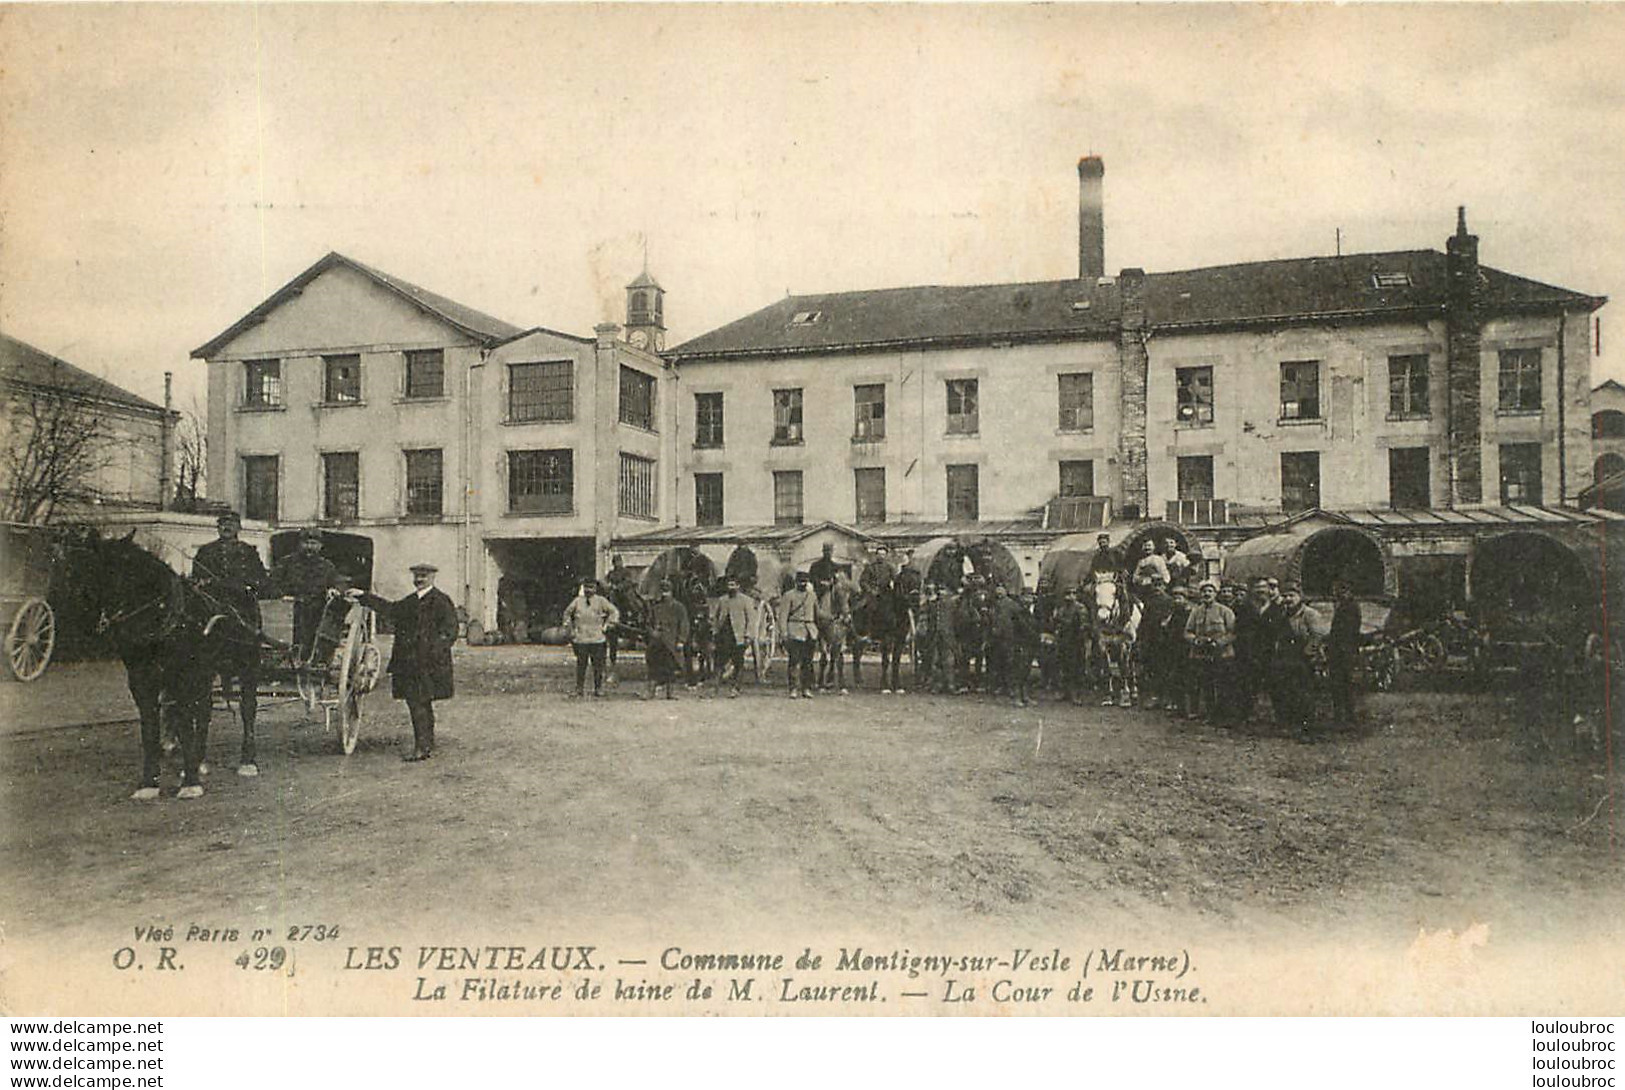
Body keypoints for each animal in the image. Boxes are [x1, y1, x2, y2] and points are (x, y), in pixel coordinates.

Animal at [60, 529, 263, 802]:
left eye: (109, 568)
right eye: (77, 566)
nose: (71, 615)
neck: (161, 617)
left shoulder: (182, 678)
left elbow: (185, 726)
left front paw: (190, 783)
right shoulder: (142, 681)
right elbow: (150, 731)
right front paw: (149, 783)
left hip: (247, 664)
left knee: (247, 708)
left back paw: (247, 761)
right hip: (205, 672)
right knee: (205, 710)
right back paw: (200, 759)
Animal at [1092, 571, 1144, 708]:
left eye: (1114, 593)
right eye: (1096, 592)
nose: (1102, 618)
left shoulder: (1125, 644)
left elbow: (1124, 669)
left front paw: (1125, 697)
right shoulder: (1103, 644)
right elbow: (1107, 668)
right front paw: (1108, 697)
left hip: (1134, 646)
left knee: (1132, 665)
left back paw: (1134, 692)